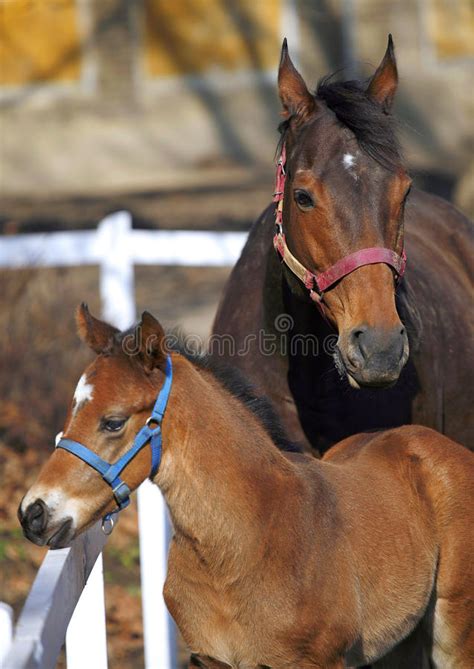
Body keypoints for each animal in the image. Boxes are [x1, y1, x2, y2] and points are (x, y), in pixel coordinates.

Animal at [19, 306, 474, 664]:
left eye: (113, 422)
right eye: (71, 410)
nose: (33, 513)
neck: (241, 547)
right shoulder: (209, 659)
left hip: (453, 631)